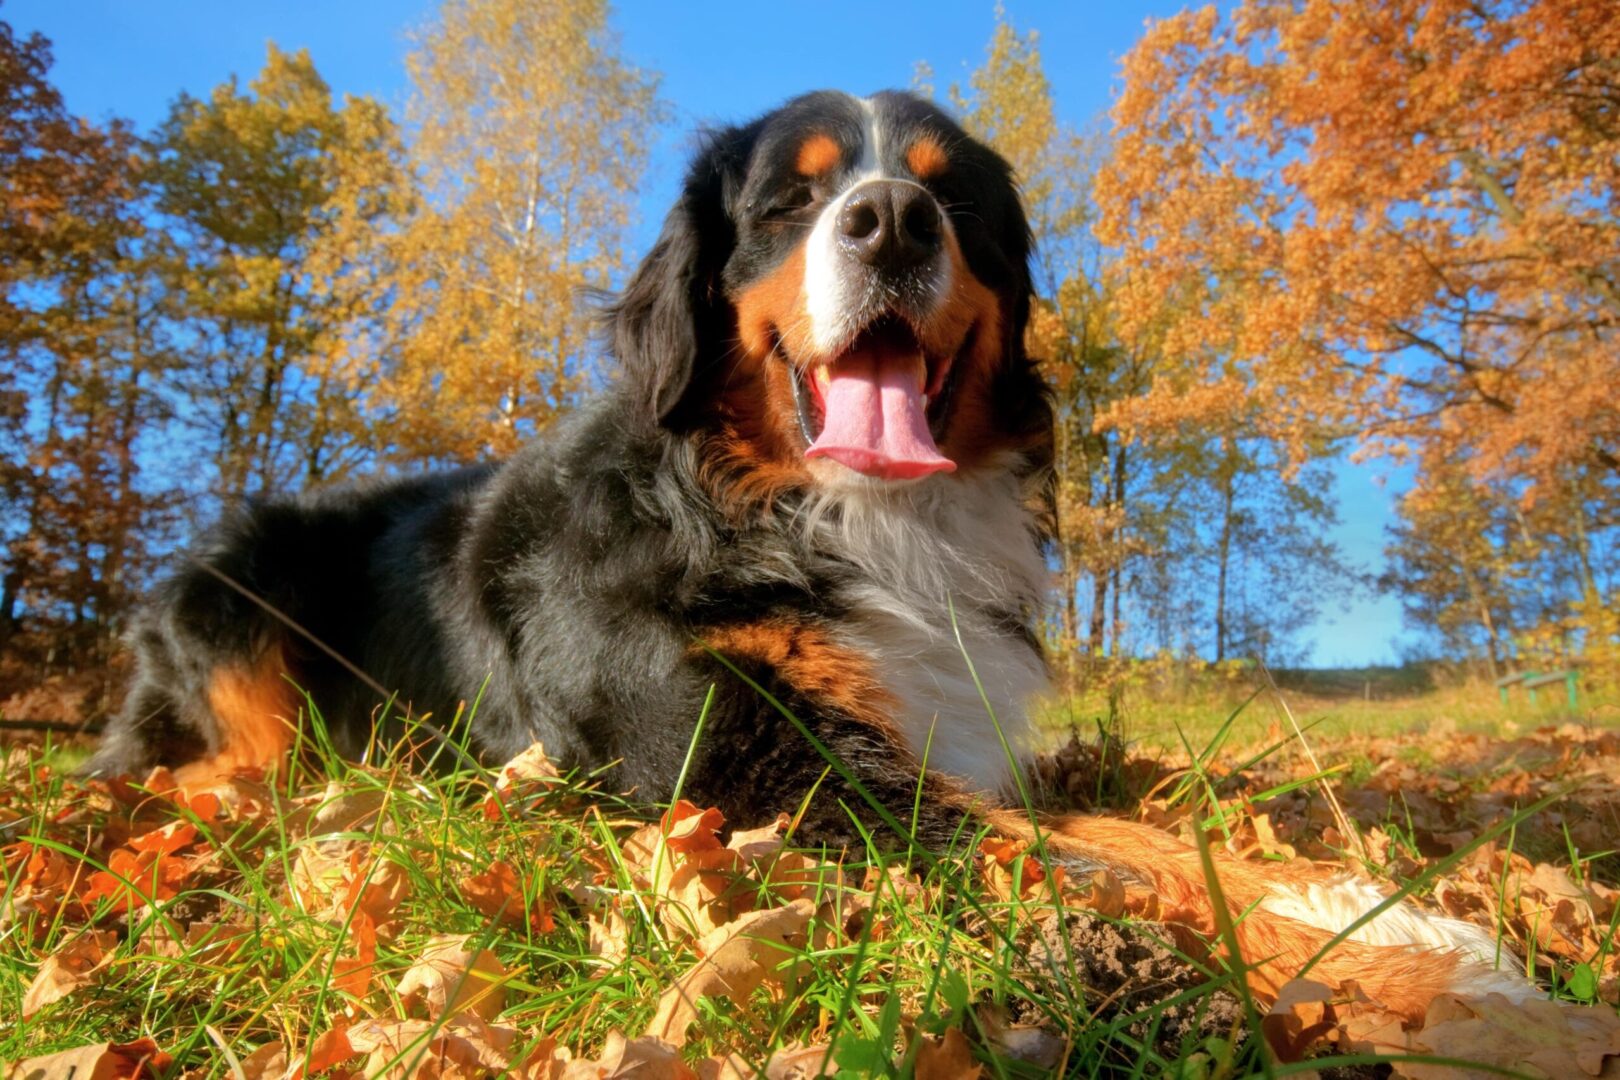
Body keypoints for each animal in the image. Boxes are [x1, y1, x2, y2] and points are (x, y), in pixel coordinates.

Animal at [91, 88, 1529, 1016]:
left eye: (951, 194)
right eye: (793, 197)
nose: (891, 219)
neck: (842, 515)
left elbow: (1143, 833)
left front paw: (1379, 904)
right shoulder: (752, 770)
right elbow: (1092, 859)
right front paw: (1424, 969)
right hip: (234, 593)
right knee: (193, 775)